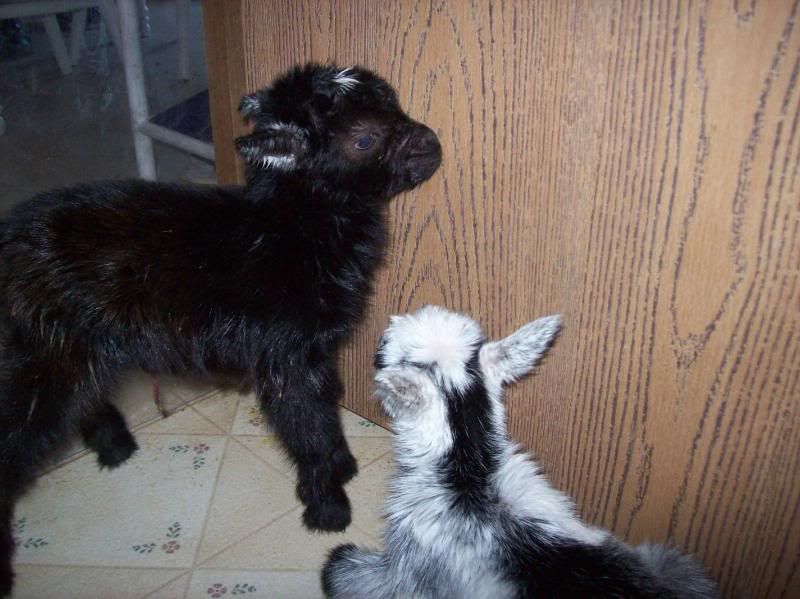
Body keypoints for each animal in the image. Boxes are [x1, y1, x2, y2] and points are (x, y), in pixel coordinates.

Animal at [0, 63, 442, 597]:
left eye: (396, 107)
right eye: (365, 139)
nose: (433, 142)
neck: (294, 227)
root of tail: (8, 241)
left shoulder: (313, 350)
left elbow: (323, 406)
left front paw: (340, 466)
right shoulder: (284, 353)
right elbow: (305, 420)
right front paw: (327, 506)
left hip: (79, 341)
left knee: (82, 396)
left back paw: (115, 446)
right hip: (50, 347)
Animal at [323, 306, 719, 598]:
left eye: (388, 350)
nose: (381, 333)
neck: (470, 469)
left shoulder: (407, 572)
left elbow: (358, 576)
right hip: (670, 563)